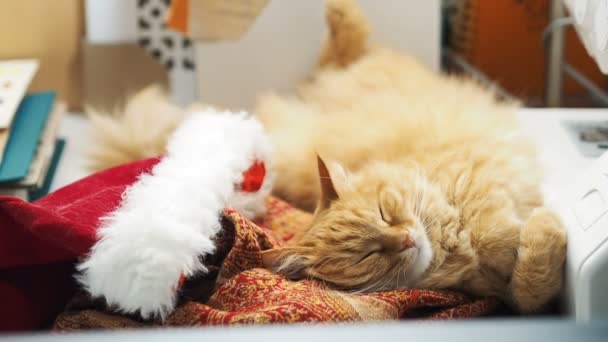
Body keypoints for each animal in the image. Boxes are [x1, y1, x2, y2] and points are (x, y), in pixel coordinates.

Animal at [255, 0, 564, 312]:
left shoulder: (476, 174)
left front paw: (523, 231)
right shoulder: (497, 294)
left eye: (383, 213)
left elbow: (495, 235)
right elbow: (528, 290)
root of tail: (317, 86)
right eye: (368, 255)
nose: (405, 240)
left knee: (347, 39)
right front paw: (539, 228)